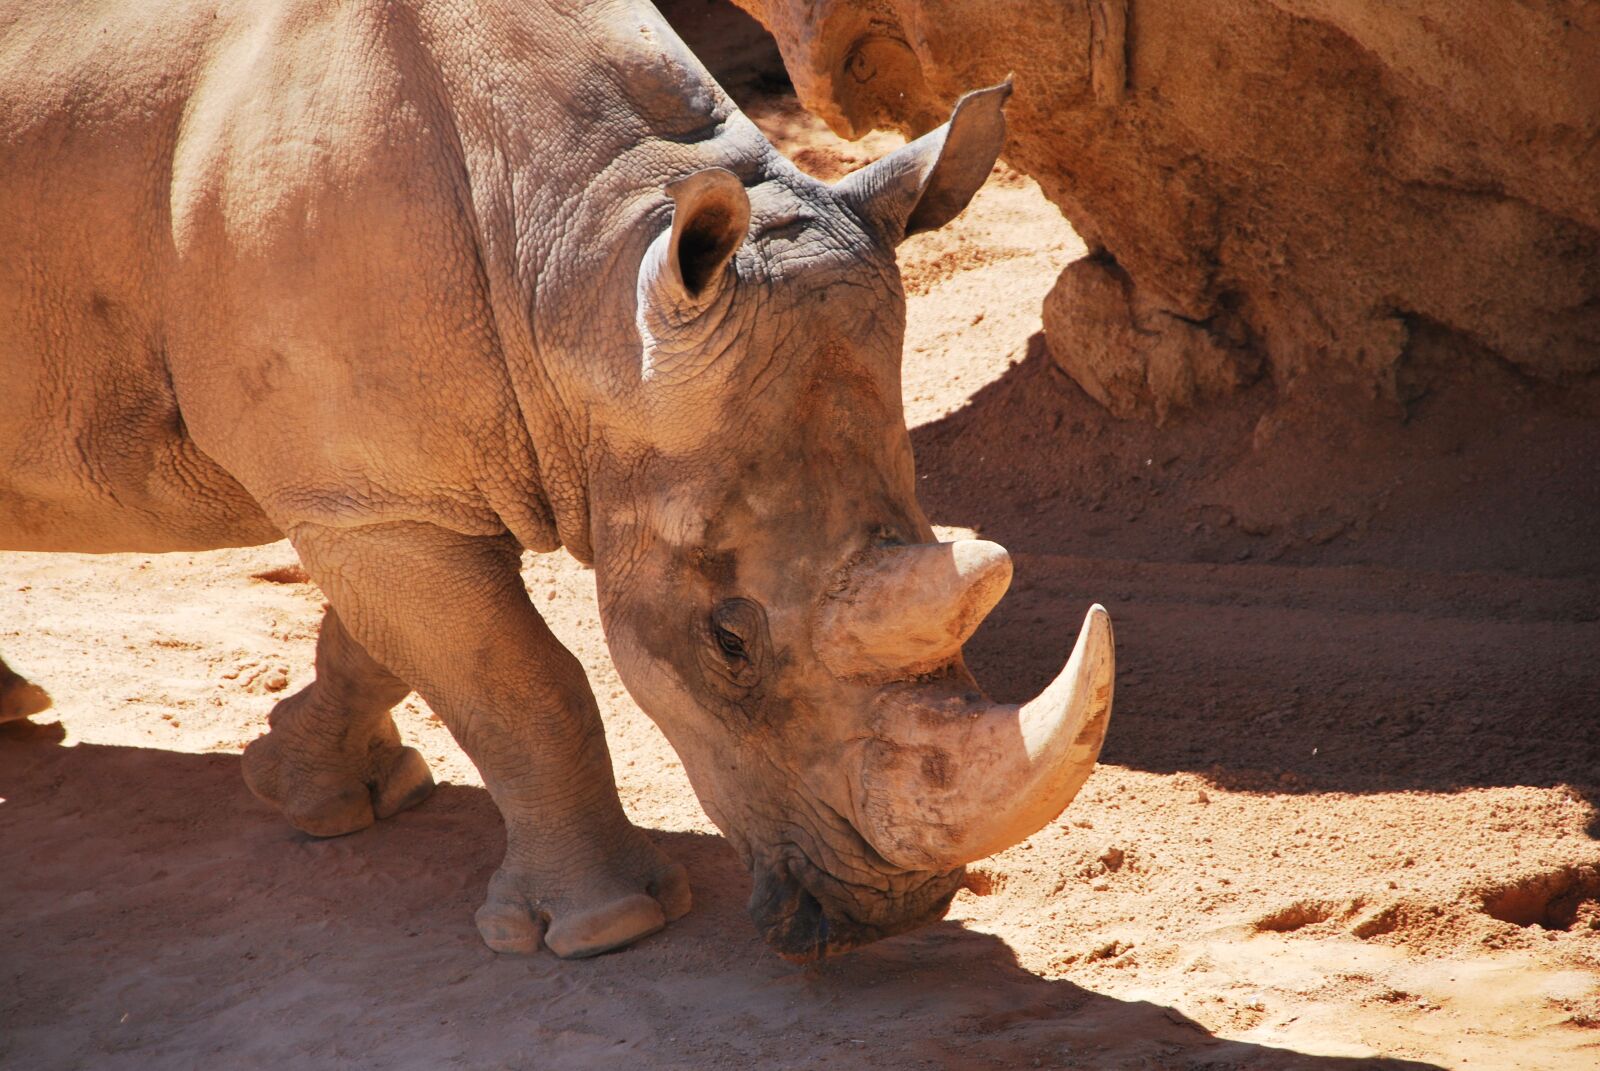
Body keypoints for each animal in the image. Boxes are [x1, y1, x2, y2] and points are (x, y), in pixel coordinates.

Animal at [0, 0, 1113, 961]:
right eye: (729, 643)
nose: (893, 915)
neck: (584, 267)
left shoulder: (371, 485)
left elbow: (383, 644)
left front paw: (318, 795)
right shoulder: (371, 497)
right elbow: (519, 681)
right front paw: (602, 928)